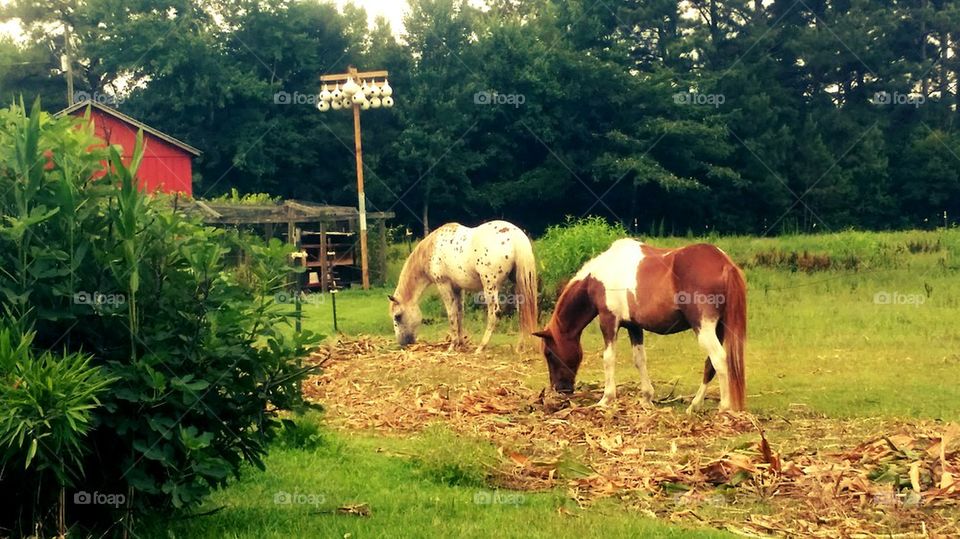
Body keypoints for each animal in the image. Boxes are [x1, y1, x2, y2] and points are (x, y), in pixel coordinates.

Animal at [388, 220, 539, 353]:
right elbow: (460, 313)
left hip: (490, 286)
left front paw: (452, 345)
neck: (433, 248)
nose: (403, 343)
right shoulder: (458, 288)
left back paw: (481, 347)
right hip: (517, 284)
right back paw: (519, 347)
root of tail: (516, 237)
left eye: (397, 316)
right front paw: (460, 343)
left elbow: (451, 313)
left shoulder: (443, 284)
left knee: (494, 313)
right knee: (522, 312)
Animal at [533, 238, 747, 412]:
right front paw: (646, 398)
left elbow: (608, 358)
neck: (603, 272)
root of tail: (724, 263)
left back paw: (723, 407)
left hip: (704, 329)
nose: (561, 390)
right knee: (710, 364)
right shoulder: (634, 326)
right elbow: (639, 359)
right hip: (718, 329)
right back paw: (694, 405)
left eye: (549, 353)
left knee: (719, 359)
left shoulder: (609, 320)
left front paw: (605, 399)